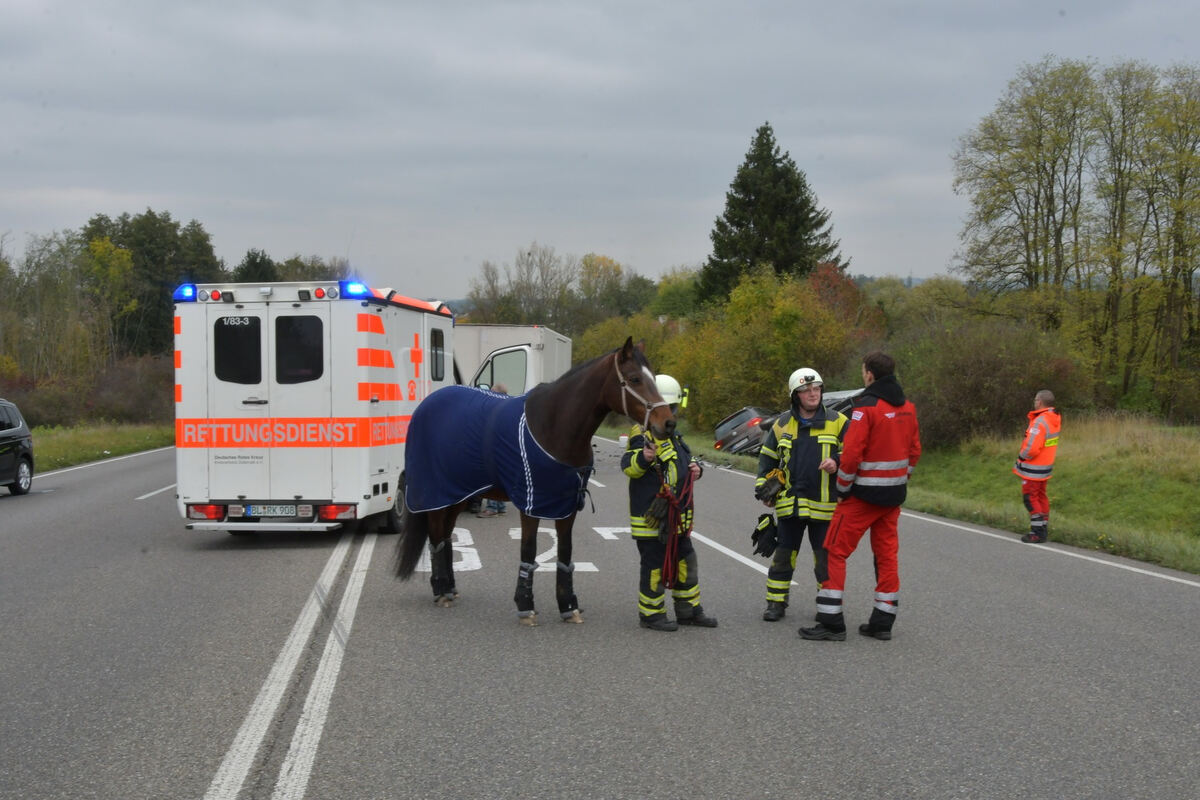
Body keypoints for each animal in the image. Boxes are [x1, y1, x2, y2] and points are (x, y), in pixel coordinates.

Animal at [393, 338, 676, 623]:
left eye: (652, 377)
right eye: (635, 378)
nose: (668, 423)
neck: (554, 426)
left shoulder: (567, 505)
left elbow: (565, 552)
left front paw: (568, 606)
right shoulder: (531, 503)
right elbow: (529, 550)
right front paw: (525, 605)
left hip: (457, 493)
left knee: (446, 536)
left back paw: (450, 588)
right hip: (436, 494)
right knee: (436, 536)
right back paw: (441, 590)